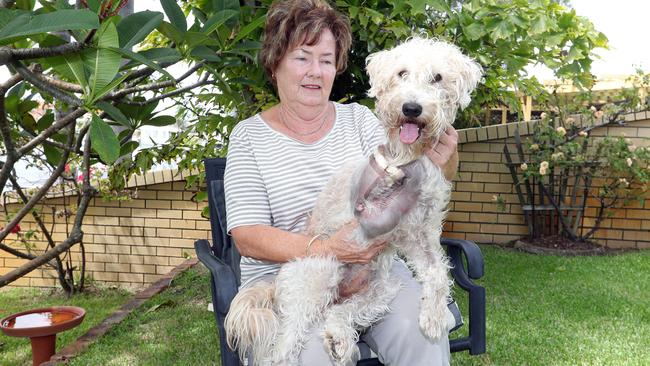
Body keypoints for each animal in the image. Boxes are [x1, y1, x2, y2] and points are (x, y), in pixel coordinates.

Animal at [224, 38, 480, 366]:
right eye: (402, 73)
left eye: (437, 77)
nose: (411, 108)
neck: (410, 157)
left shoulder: (419, 235)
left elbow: (436, 273)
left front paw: (434, 318)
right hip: (321, 272)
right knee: (282, 348)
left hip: (381, 289)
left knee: (338, 312)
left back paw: (340, 340)